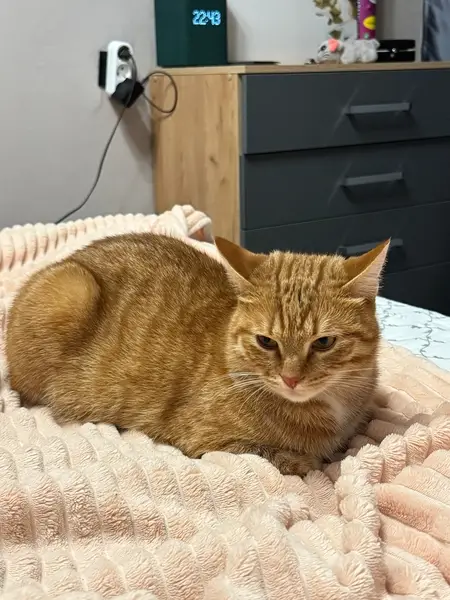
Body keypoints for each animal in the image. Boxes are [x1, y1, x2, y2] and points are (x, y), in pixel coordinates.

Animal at [5, 234, 389, 476]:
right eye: (266, 342)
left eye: (324, 342)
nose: (291, 379)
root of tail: (70, 259)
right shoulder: (203, 438)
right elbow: (280, 455)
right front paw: (304, 460)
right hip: (71, 290)